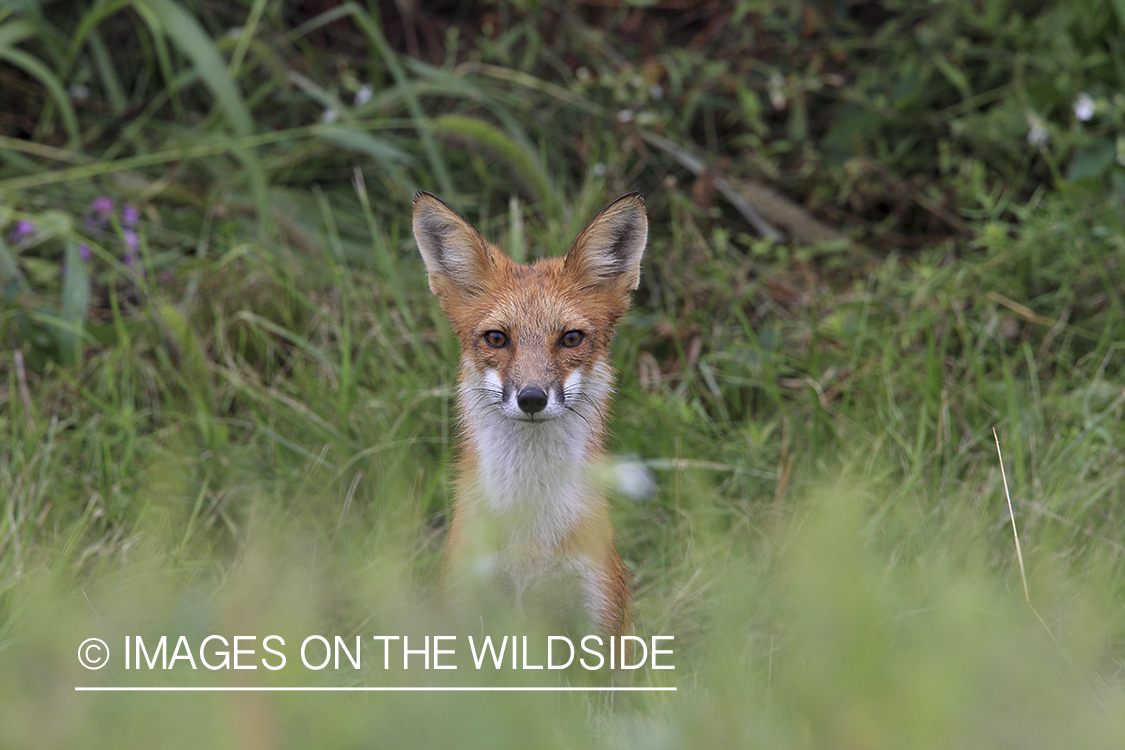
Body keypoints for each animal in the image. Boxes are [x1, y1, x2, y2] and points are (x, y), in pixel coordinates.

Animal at [414, 191, 648, 643]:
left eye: (571, 338)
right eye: (496, 338)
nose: (533, 398)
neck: (530, 539)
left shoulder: (601, 621)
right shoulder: (461, 609)